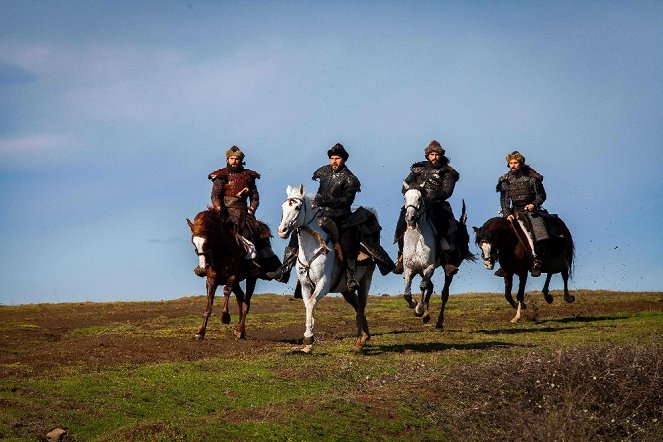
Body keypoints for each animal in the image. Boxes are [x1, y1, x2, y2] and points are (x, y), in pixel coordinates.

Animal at [189, 209, 260, 340]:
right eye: (194, 243)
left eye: (207, 242)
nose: (202, 267)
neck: (222, 253)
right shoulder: (211, 280)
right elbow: (208, 306)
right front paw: (200, 332)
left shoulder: (232, 277)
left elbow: (226, 291)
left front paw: (225, 317)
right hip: (237, 283)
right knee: (240, 297)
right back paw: (240, 330)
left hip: (251, 279)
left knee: (246, 304)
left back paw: (240, 330)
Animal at [278, 185, 376, 354]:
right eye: (284, 207)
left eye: (297, 207)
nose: (282, 231)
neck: (312, 247)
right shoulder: (305, 286)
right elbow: (308, 305)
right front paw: (308, 344)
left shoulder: (323, 285)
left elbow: (311, 303)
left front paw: (308, 337)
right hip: (346, 290)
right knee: (357, 307)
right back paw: (364, 337)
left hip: (365, 281)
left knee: (361, 307)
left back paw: (360, 341)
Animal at [400, 183, 472, 328]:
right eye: (405, 198)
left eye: (420, 198)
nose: (410, 218)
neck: (417, 239)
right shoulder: (409, 269)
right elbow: (407, 294)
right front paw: (416, 306)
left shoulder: (429, 267)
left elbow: (423, 286)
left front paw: (419, 309)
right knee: (430, 286)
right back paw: (427, 316)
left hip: (449, 269)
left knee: (444, 293)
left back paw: (439, 321)